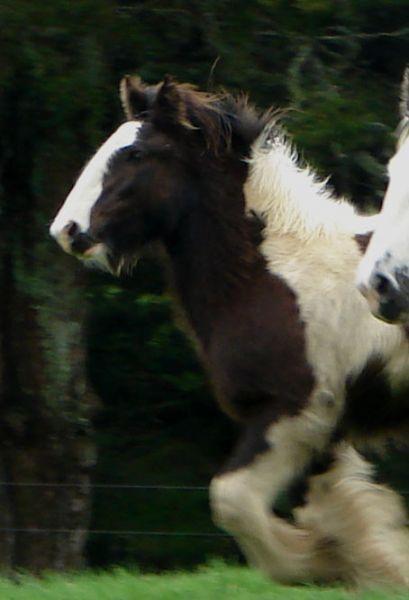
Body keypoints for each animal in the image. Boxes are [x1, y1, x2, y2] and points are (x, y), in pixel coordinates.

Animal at [51, 75, 409, 584]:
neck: (270, 274)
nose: (67, 230)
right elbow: (341, 510)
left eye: (136, 154)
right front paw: (362, 564)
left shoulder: (294, 412)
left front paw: (316, 560)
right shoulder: (320, 431)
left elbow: (231, 500)